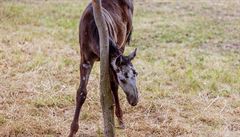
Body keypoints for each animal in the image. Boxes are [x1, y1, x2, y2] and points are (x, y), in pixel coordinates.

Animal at [68, 0, 139, 136]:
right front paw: (72, 131)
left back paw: (120, 119)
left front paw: (120, 119)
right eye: (122, 79)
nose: (135, 100)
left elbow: (113, 85)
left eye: (135, 73)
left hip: (124, 38)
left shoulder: (108, 58)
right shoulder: (85, 60)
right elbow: (81, 93)